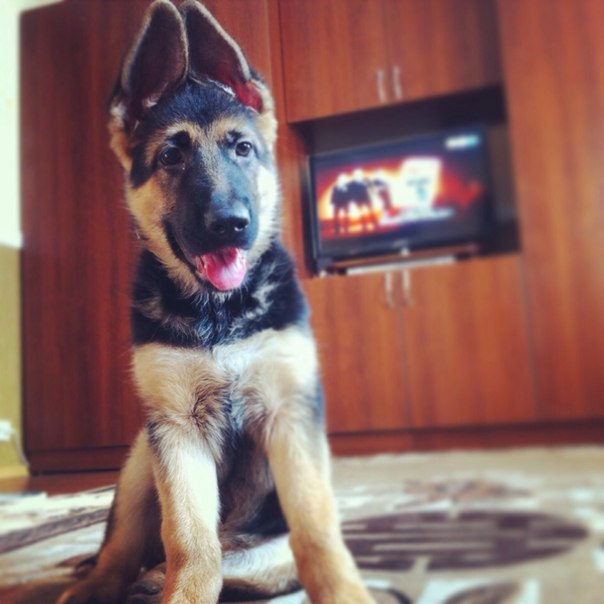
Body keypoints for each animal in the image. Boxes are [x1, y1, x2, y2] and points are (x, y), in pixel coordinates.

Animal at [57, 1, 373, 603]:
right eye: (171, 156)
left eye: (242, 149)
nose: (230, 223)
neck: (219, 314)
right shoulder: (177, 430)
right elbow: (190, 542)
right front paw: (182, 590)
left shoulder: (290, 414)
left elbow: (317, 534)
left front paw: (346, 592)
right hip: (141, 456)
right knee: (126, 550)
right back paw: (105, 583)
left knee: (248, 560)